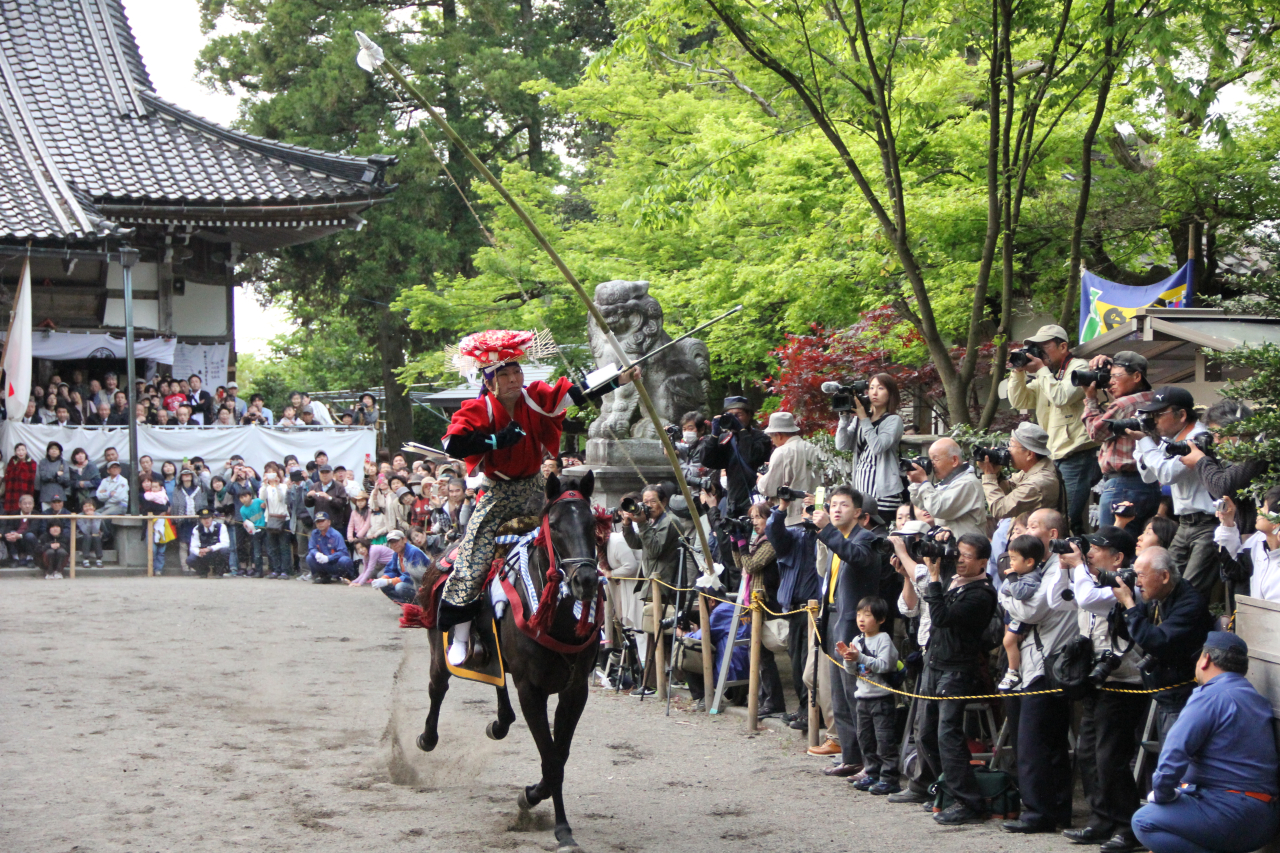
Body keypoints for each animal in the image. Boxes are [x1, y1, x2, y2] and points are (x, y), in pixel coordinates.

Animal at [414, 468, 604, 845]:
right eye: (555, 525)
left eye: (592, 524)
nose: (586, 580)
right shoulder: (532, 689)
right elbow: (551, 759)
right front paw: (559, 827)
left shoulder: (575, 689)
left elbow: (559, 754)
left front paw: (533, 797)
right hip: (438, 649)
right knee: (437, 687)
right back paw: (428, 738)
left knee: (497, 679)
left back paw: (500, 722)